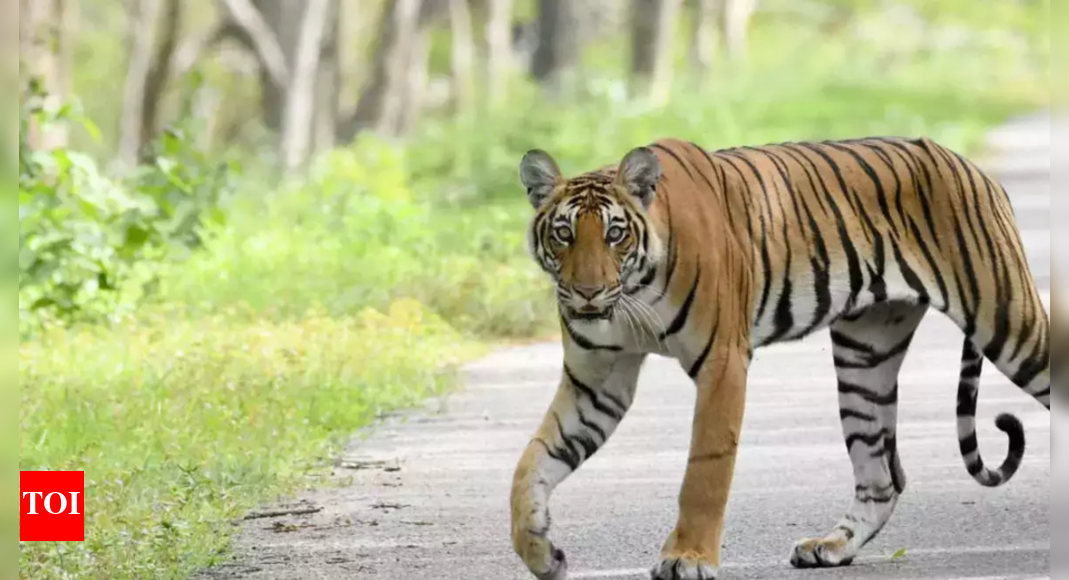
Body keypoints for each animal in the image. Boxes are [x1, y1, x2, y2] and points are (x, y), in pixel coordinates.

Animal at [509, 137, 1051, 580]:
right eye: (564, 234)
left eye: (615, 234)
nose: (587, 292)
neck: (632, 293)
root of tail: (972, 167)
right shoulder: (597, 382)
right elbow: (532, 463)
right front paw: (541, 554)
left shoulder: (723, 363)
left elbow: (705, 470)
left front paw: (688, 558)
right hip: (864, 356)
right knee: (883, 477)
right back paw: (831, 546)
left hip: (1009, 324)